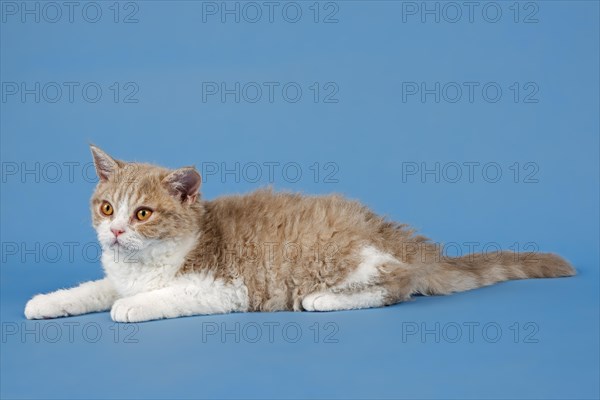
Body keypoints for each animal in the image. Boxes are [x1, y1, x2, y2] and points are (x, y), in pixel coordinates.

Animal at [24, 145, 576, 324]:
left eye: (142, 213)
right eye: (107, 207)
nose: (116, 231)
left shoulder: (223, 288)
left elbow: (157, 297)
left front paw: (130, 307)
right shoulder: (118, 275)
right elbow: (91, 290)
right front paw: (47, 302)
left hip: (341, 258)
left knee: (397, 286)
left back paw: (322, 301)